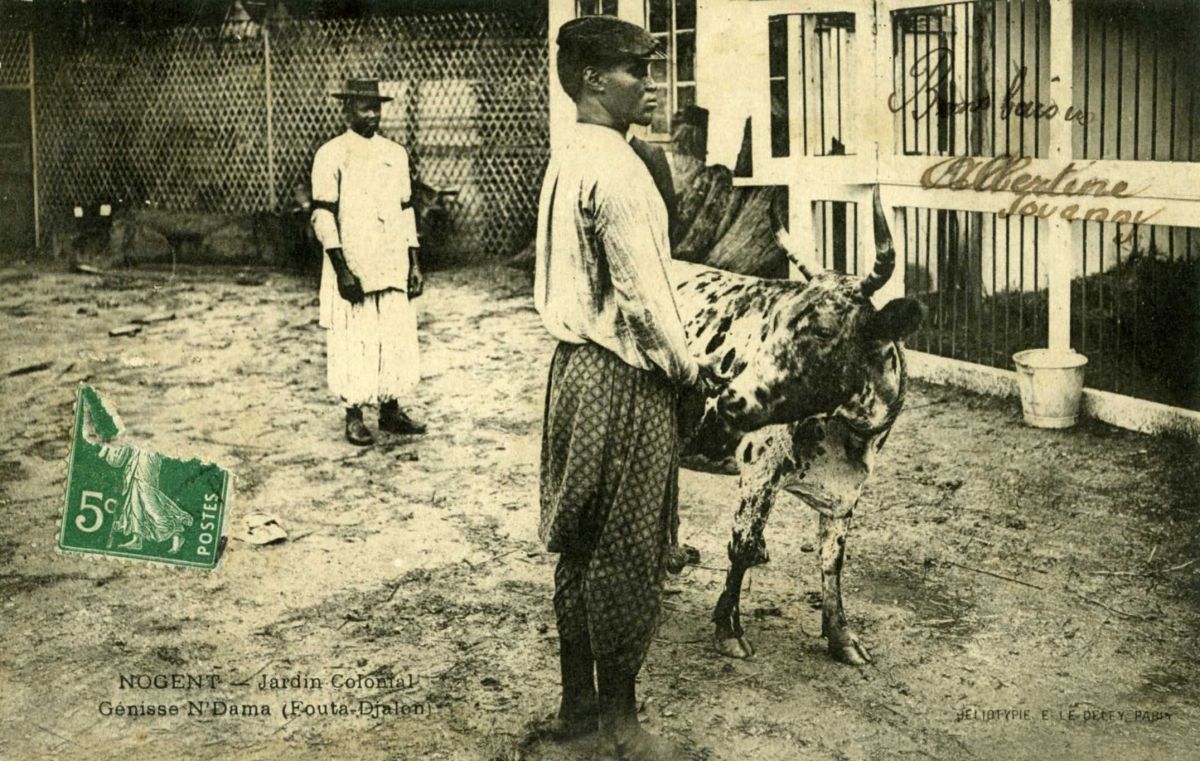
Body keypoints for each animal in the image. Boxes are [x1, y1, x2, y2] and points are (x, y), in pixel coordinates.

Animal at [671, 187, 923, 665]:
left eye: (823, 330)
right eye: (771, 324)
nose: (730, 398)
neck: (849, 431)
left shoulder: (846, 493)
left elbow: (832, 560)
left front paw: (842, 637)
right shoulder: (759, 471)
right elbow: (742, 544)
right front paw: (728, 627)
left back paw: (672, 553)